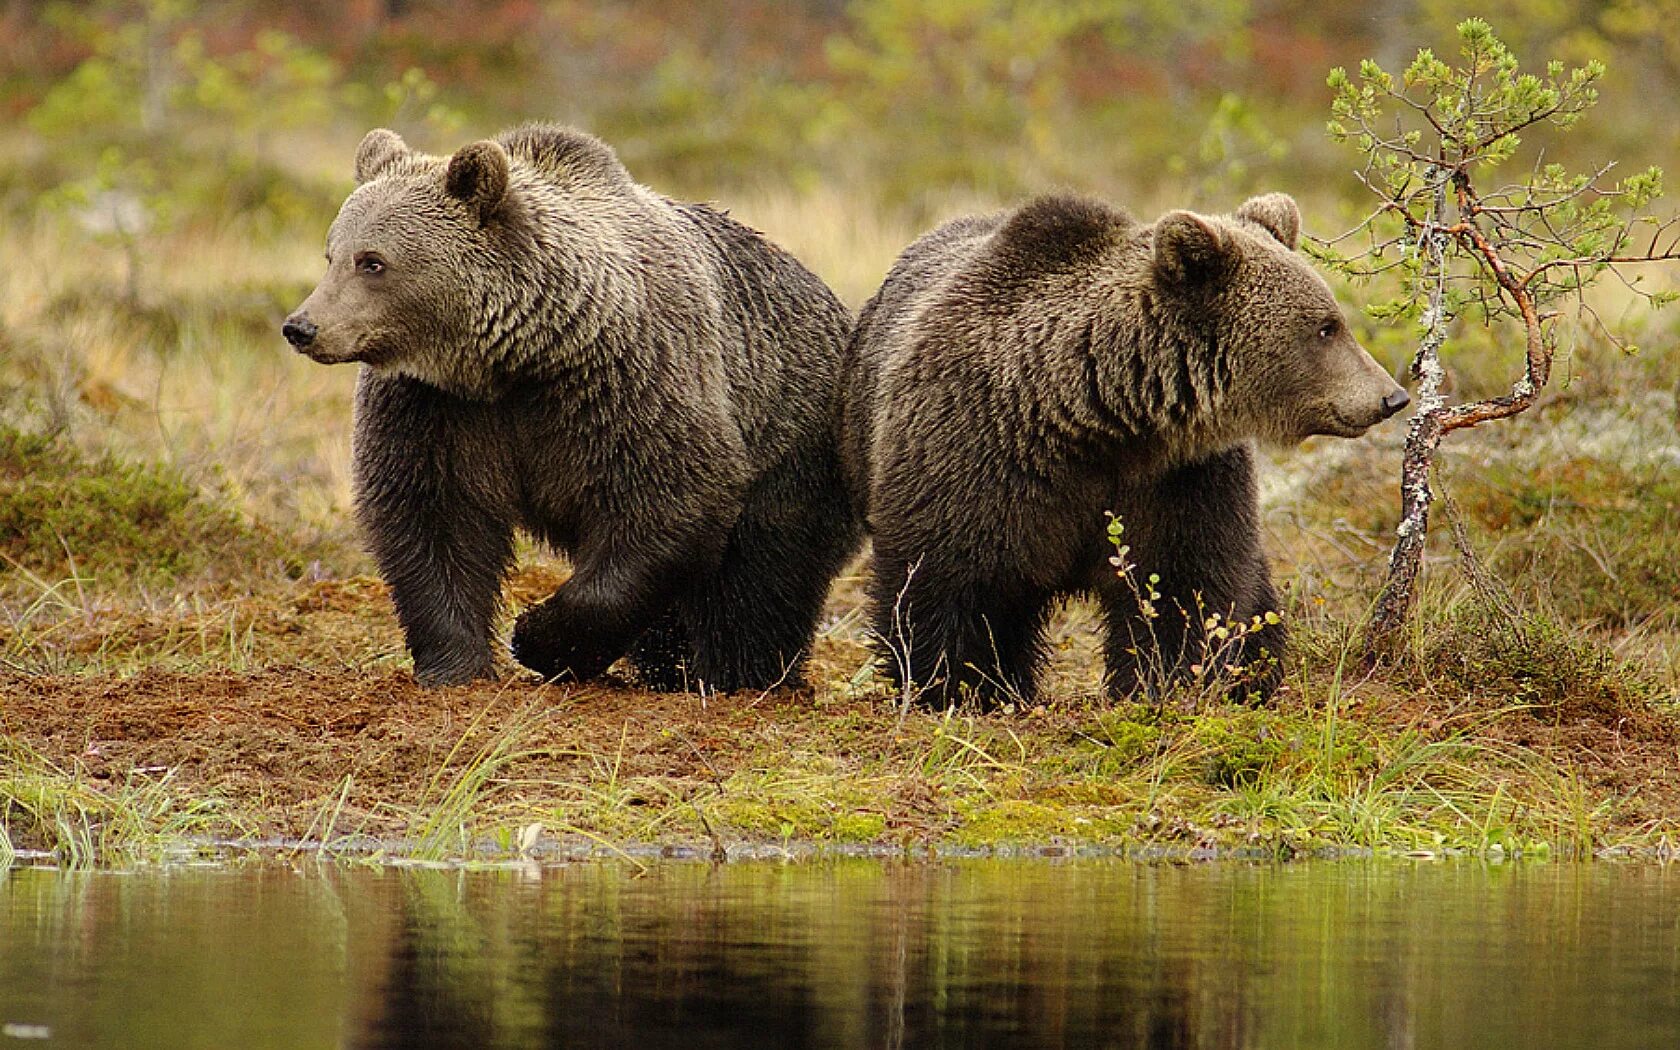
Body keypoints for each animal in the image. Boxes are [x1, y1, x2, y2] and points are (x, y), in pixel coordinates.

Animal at [283, 125, 860, 688]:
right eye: (332, 254)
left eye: (372, 262)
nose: (301, 326)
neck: (516, 362)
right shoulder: (435, 407)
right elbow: (433, 515)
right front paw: (454, 664)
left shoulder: (628, 384)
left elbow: (669, 503)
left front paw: (537, 637)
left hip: (792, 435)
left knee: (761, 574)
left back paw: (740, 674)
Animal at [846, 192, 1411, 708]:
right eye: (1326, 327)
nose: (1392, 396)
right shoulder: (978, 452)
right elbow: (951, 579)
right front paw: (961, 687)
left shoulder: (1180, 477)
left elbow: (1182, 583)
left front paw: (1161, 683)